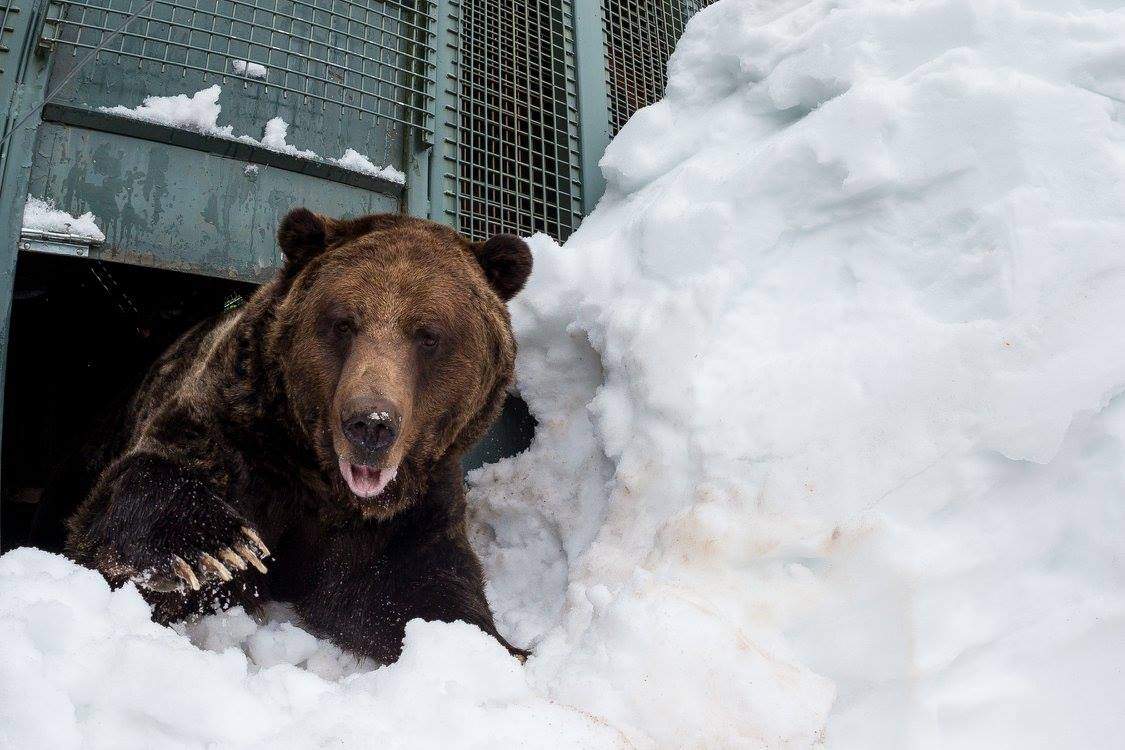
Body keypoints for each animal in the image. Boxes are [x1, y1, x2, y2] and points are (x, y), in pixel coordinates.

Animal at [57, 209, 532, 663]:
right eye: (343, 323)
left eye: (428, 335)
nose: (370, 423)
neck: (321, 479)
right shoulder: (239, 429)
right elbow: (127, 499)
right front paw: (218, 547)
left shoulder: (409, 507)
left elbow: (418, 589)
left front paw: (503, 648)